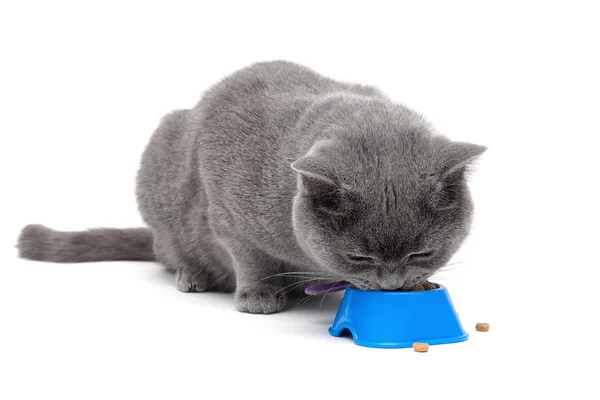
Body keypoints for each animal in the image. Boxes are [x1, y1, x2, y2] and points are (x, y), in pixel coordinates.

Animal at [17, 61, 488, 314]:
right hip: (160, 175)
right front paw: (259, 295)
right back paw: (193, 275)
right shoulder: (228, 217)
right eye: (359, 257)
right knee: (168, 252)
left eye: (421, 253)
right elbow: (251, 257)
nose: (392, 284)